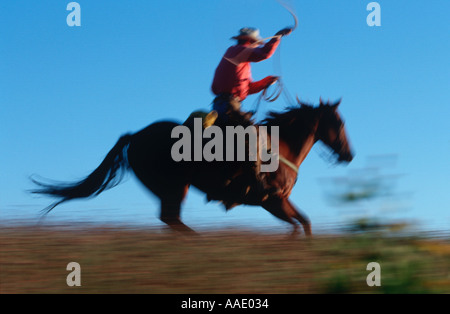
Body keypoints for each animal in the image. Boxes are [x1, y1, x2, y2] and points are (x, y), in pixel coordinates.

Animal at [31, 98, 356, 236]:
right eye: (339, 123)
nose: (349, 155)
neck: (279, 147)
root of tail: (135, 136)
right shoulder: (272, 201)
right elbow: (298, 225)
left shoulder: (278, 202)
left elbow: (304, 224)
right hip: (175, 187)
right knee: (171, 219)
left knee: (170, 220)